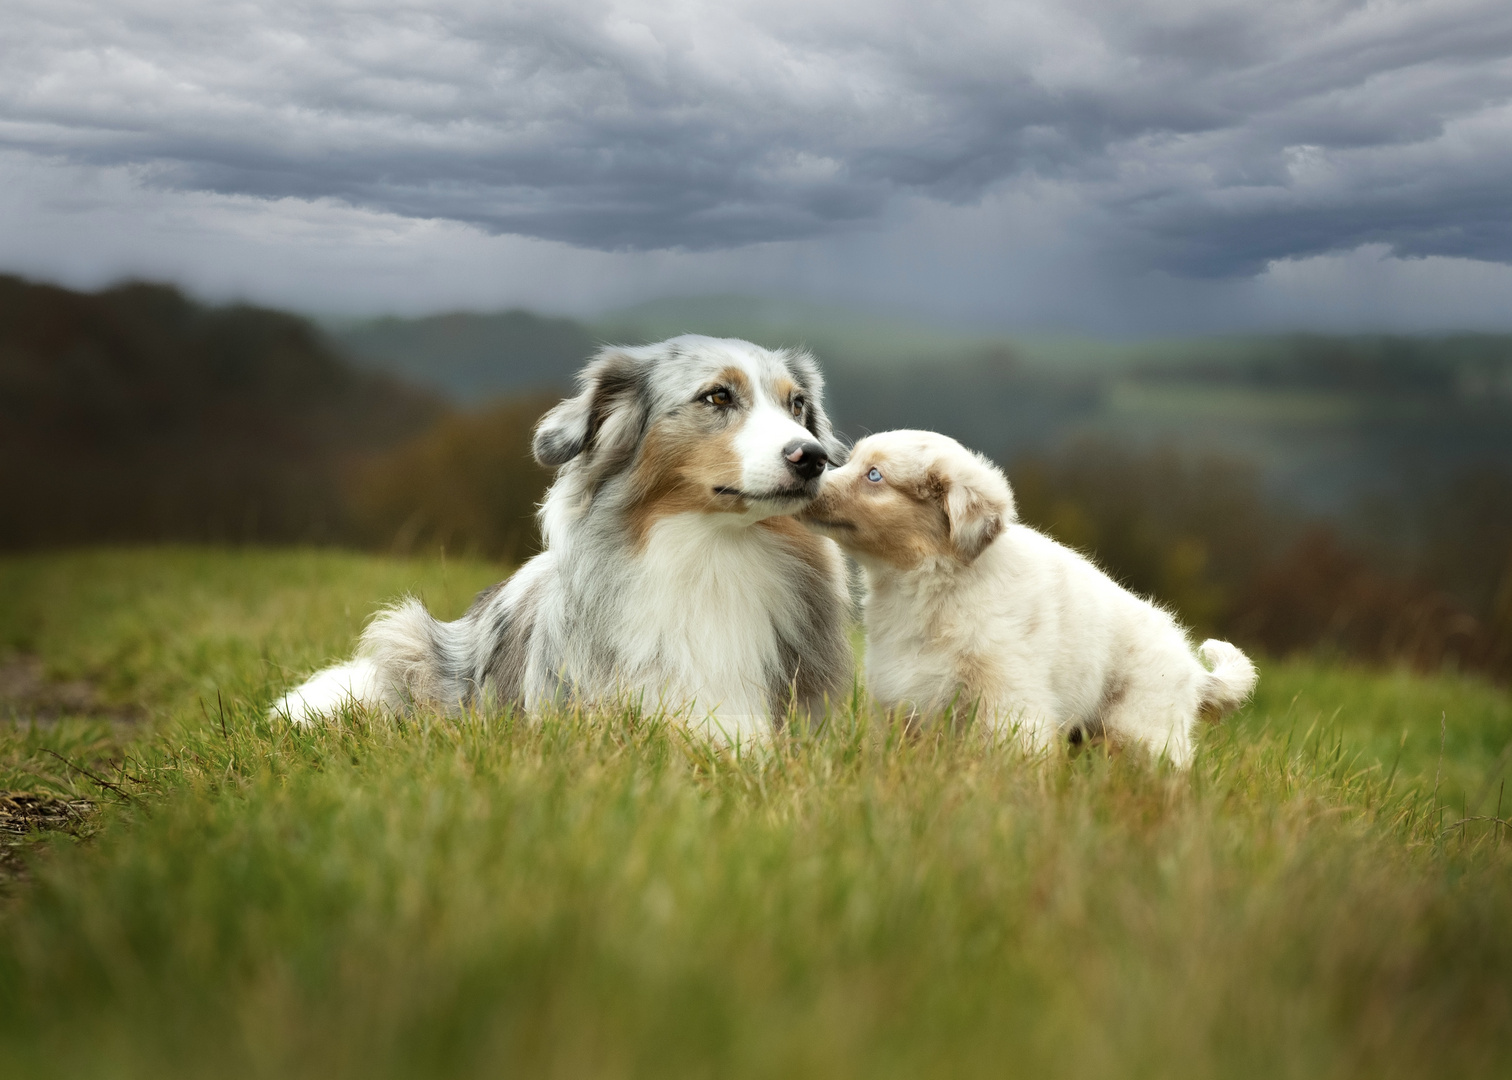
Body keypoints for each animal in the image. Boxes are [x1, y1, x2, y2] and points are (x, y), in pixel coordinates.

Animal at [798, 429, 1257, 765]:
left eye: (874, 475)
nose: (810, 479)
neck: (929, 582)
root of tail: (1193, 669)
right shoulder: (902, 696)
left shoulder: (1009, 699)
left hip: (1142, 726)